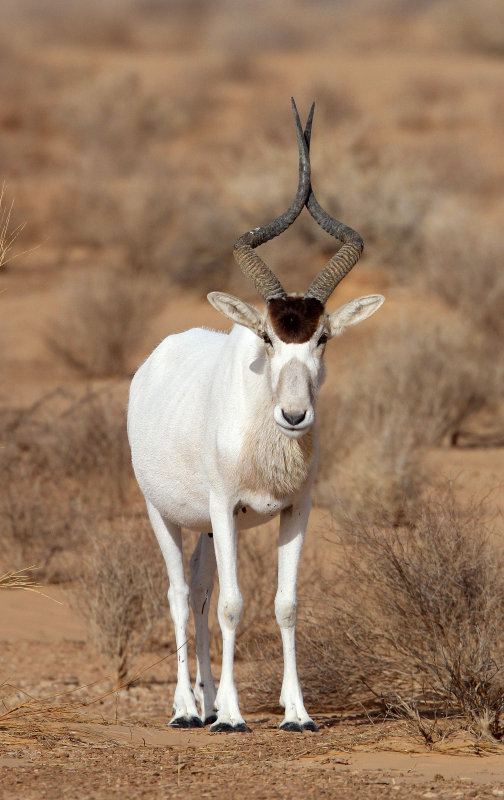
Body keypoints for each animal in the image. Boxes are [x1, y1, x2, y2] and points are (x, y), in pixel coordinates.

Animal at [128, 100, 384, 732]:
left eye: (322, 337)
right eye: (268, 337)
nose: (294, 415)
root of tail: (158, 356)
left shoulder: (296, 508)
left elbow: (284, 604)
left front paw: (297, 714)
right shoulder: (225, 505)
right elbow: (234, 604)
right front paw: (234, 718)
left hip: (205, 525)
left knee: (198, 591)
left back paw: (207, 701)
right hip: (165, 513)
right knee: (178, 594)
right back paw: (187, 709)